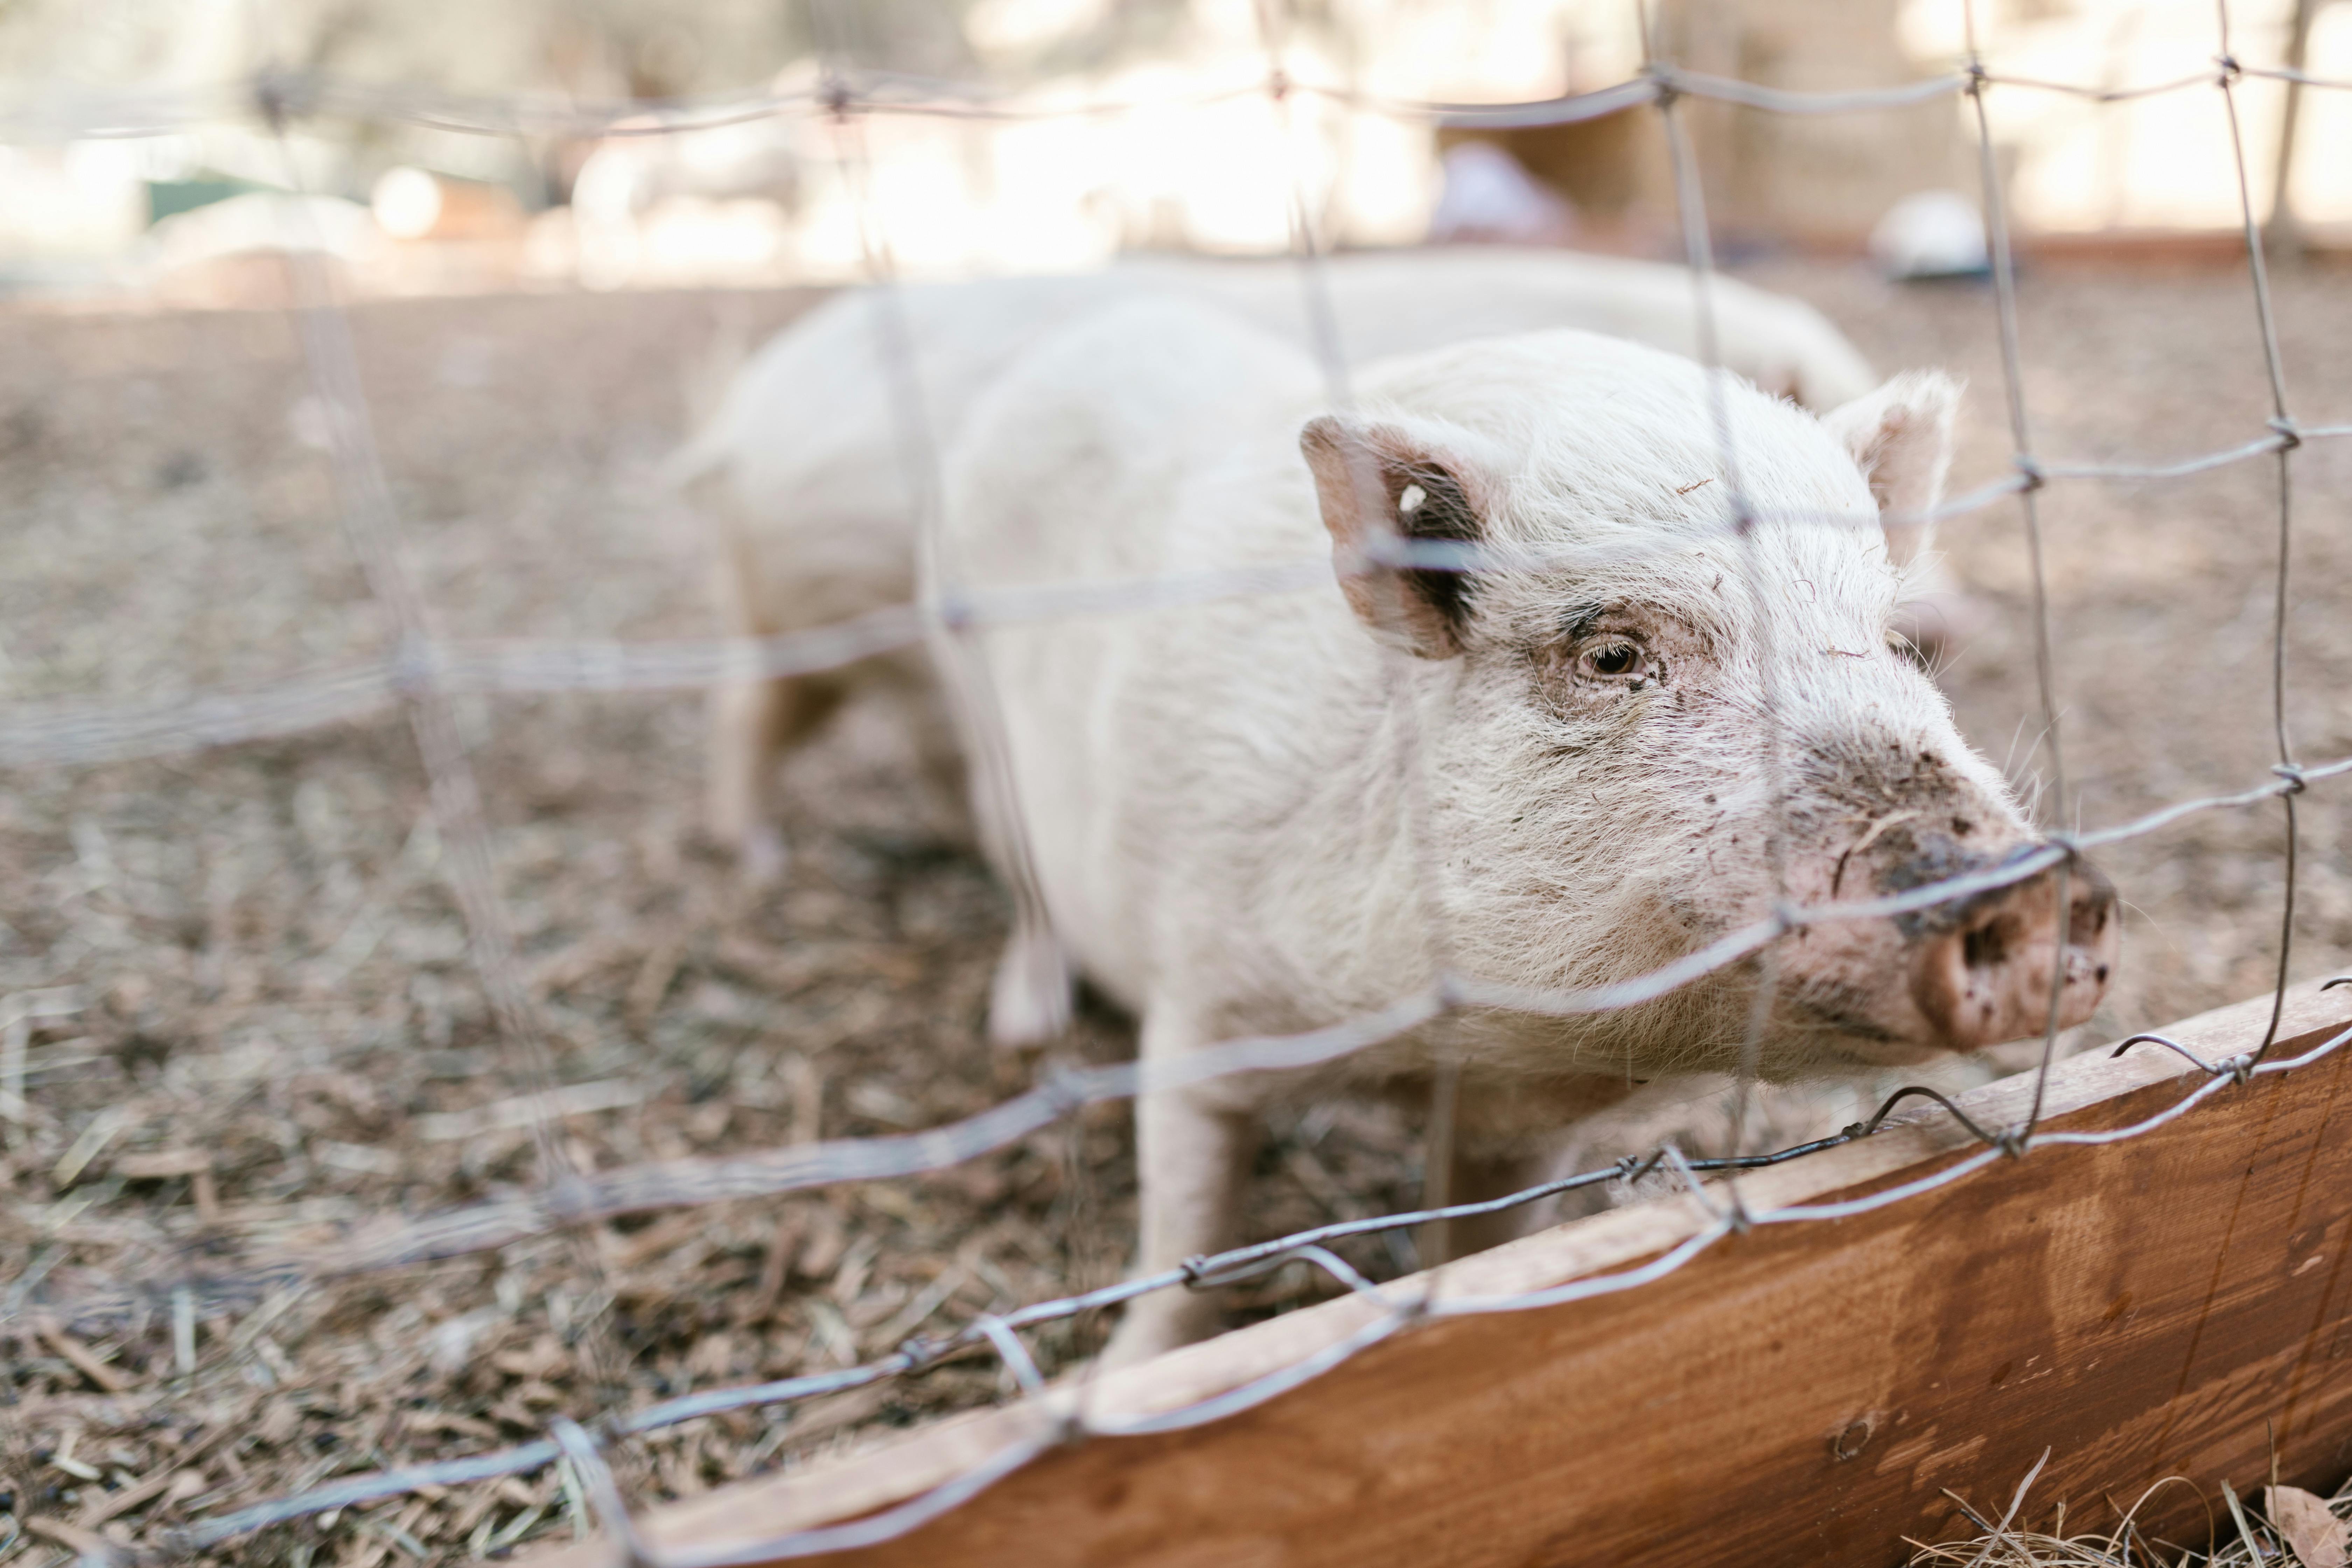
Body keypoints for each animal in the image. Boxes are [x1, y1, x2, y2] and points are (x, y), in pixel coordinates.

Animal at [941, 301, 2135, 1363]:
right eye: (1611, 655)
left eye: (1895, 644)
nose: (2034, 885)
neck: (1437, 1042)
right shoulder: (1200, 1002)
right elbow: (1185, 1229)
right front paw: (1120, 1375)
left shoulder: (1524, 1121)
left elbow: (1485, 1242)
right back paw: (1025, 1027)